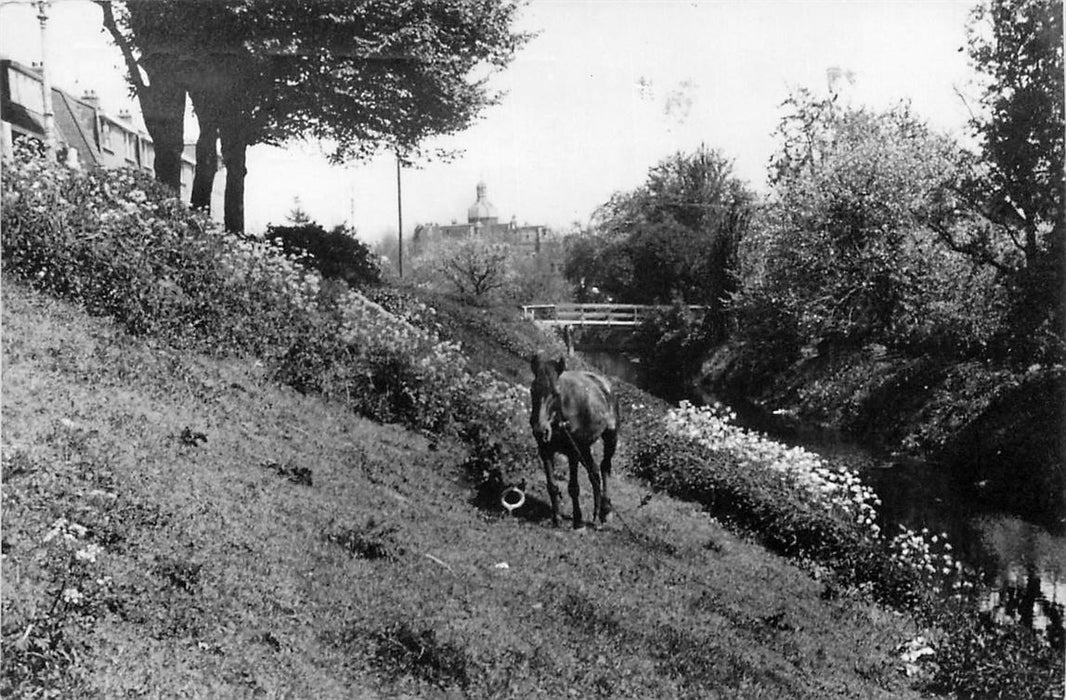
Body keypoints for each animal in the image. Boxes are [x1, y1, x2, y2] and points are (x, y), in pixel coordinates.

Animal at [528, 351, 622, 526]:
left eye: (556, 393)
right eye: (532, 390)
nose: (540, 430)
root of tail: (606, 385)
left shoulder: (573, 452)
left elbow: (573, 487)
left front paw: (578, 521)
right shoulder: (545, 450)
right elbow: (552, 485)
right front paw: (556, 517)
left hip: (610, 437)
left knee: (605, 467)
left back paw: (605, 511)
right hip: (584, 447)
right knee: (594, 472)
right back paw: (596, 513)